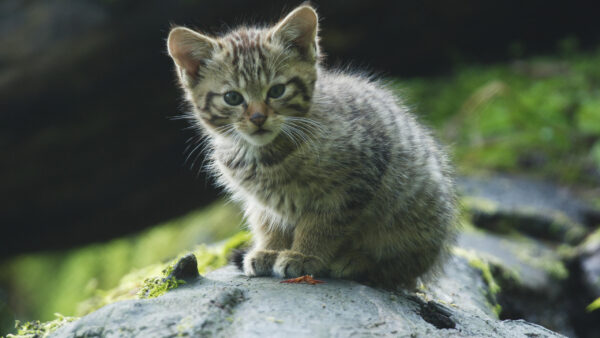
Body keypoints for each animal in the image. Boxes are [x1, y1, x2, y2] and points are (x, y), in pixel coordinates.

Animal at [166, 4, 458, 288]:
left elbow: (322, 225)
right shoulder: (262, 203)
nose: (258, 118)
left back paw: (357, 261)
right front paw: (269, 249)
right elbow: (269, 223)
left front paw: (304, 254)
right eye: (232, 97)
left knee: (401, 269)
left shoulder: (350, 184)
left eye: (277, 91)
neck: (267, 155)